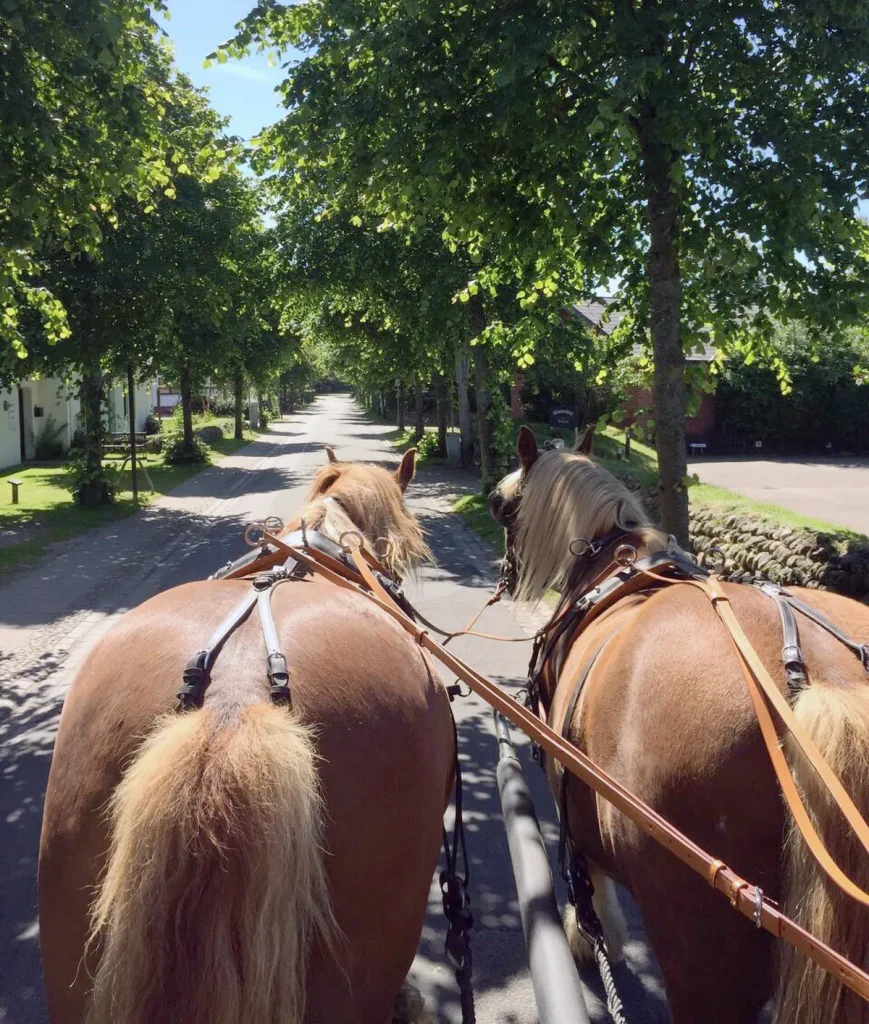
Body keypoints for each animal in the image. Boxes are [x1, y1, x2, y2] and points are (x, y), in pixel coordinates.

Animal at [487, 428, 867, 1024]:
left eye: (501, 508)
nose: (503, 575)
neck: (611, 566)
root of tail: (822, 678)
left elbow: (587, 876)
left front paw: (589, 935)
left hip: (701, 957)